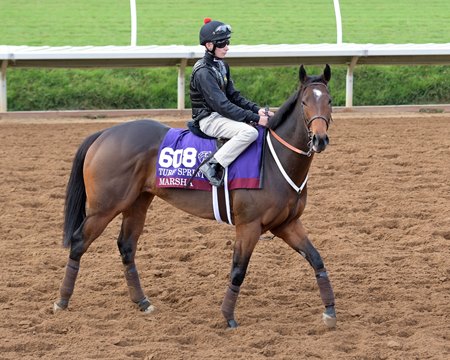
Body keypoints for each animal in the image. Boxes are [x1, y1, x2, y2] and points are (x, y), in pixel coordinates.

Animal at [54, 64, 336, 330]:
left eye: (330, 100)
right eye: (304, 103)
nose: (319, 139)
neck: (273, 159)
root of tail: (104, 134)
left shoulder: (286, 224)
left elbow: (317, 259)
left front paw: (330, 311)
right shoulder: (249, 226)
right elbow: (238, 271)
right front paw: (228, 317)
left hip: (137, 203)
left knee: (126, 246)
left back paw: (142, 301)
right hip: (105, 207)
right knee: (79, 242)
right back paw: (62, 301)